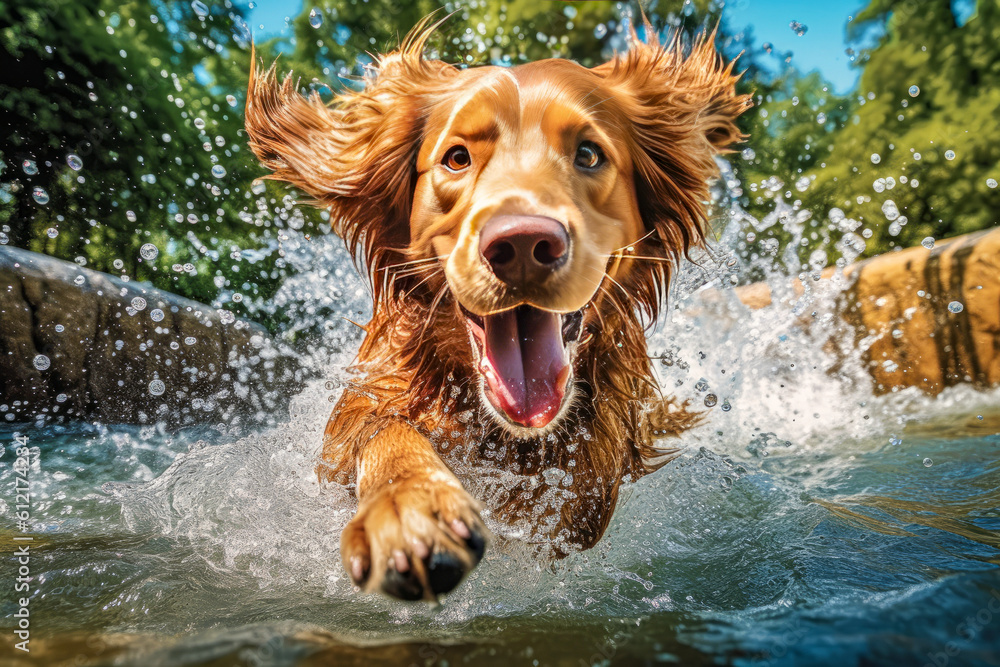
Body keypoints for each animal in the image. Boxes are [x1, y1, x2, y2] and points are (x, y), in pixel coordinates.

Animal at [244, 17, 752, 600]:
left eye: (588, 154)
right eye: (457, 157)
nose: (524, 244)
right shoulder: (363, 411)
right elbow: (387, 433)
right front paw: (409, 510)